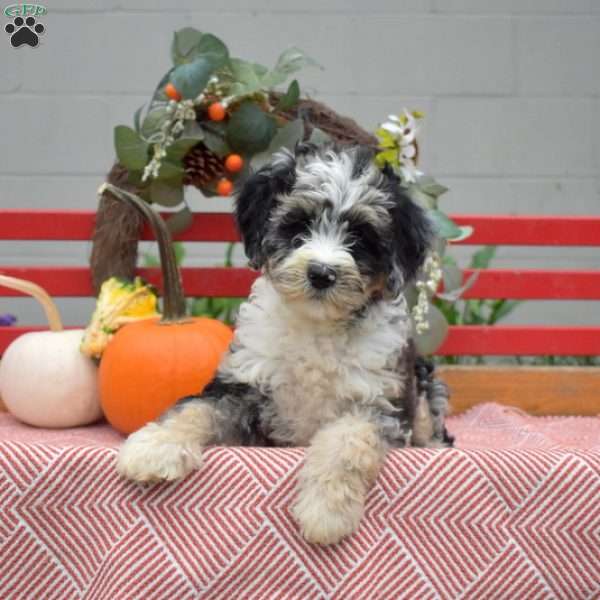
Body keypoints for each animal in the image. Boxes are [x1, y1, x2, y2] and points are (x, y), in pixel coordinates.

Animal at [117, 143, 452, 548]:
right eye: (299, 226)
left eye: (359, 238)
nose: (321, 273)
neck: (317, 327)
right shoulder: (242, 385)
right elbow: (196, 409)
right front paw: (155, 446)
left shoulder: (378, 403)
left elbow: (348, 442)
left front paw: (327, 509)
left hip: (424, 382)